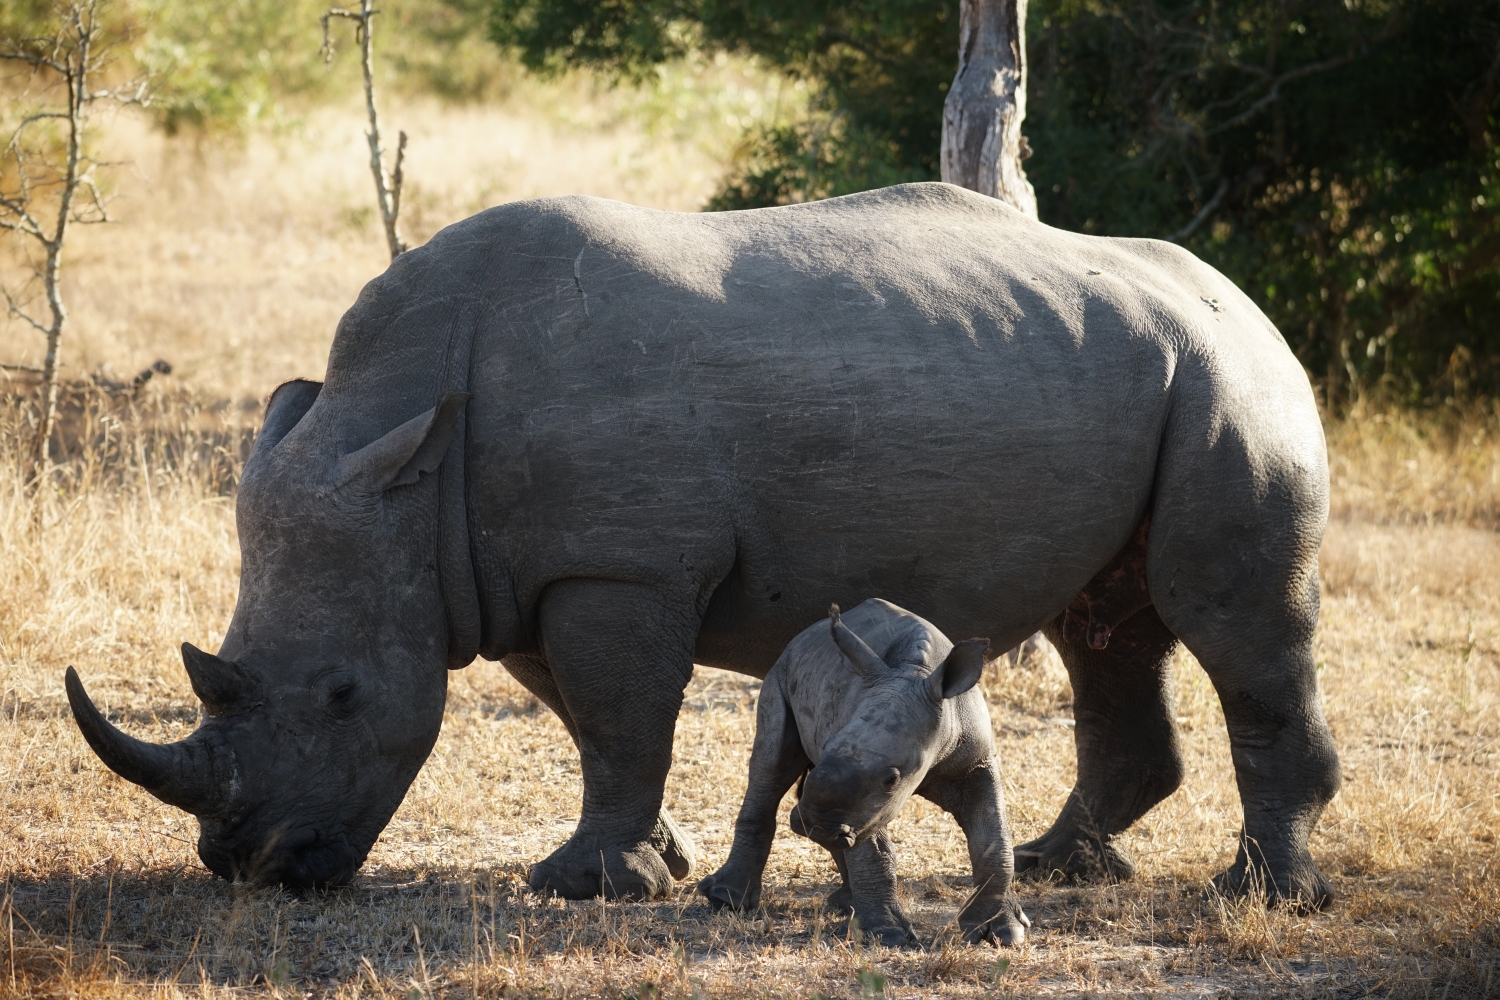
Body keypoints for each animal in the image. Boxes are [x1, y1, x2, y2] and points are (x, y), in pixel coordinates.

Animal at [67, 179, 1338, 905]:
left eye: (340, 695)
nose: (253, 870)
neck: (403, 429)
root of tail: (1249, 302)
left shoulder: (613, 562)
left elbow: (621, 716)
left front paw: (594, 888)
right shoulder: (511, 569)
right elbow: (584, 715)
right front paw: (656, 861)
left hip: (1232, 384)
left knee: (1228, 617)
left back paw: (1264, 895)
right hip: (1139, 372)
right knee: (1108, 626)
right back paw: (1061, 863)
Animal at [699, 599, 1032, 953]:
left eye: (892, 779)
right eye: (827, 746)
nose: (814, 825)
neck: (916, 674)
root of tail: (803, 635)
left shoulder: (975, 764)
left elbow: (993, 838)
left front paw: (1002, 933)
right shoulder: (862, 795)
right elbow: (872, 847)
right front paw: (886, 936)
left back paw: (844, 904)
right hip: (781, 670)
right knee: (771, 766)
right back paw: (727, 901)